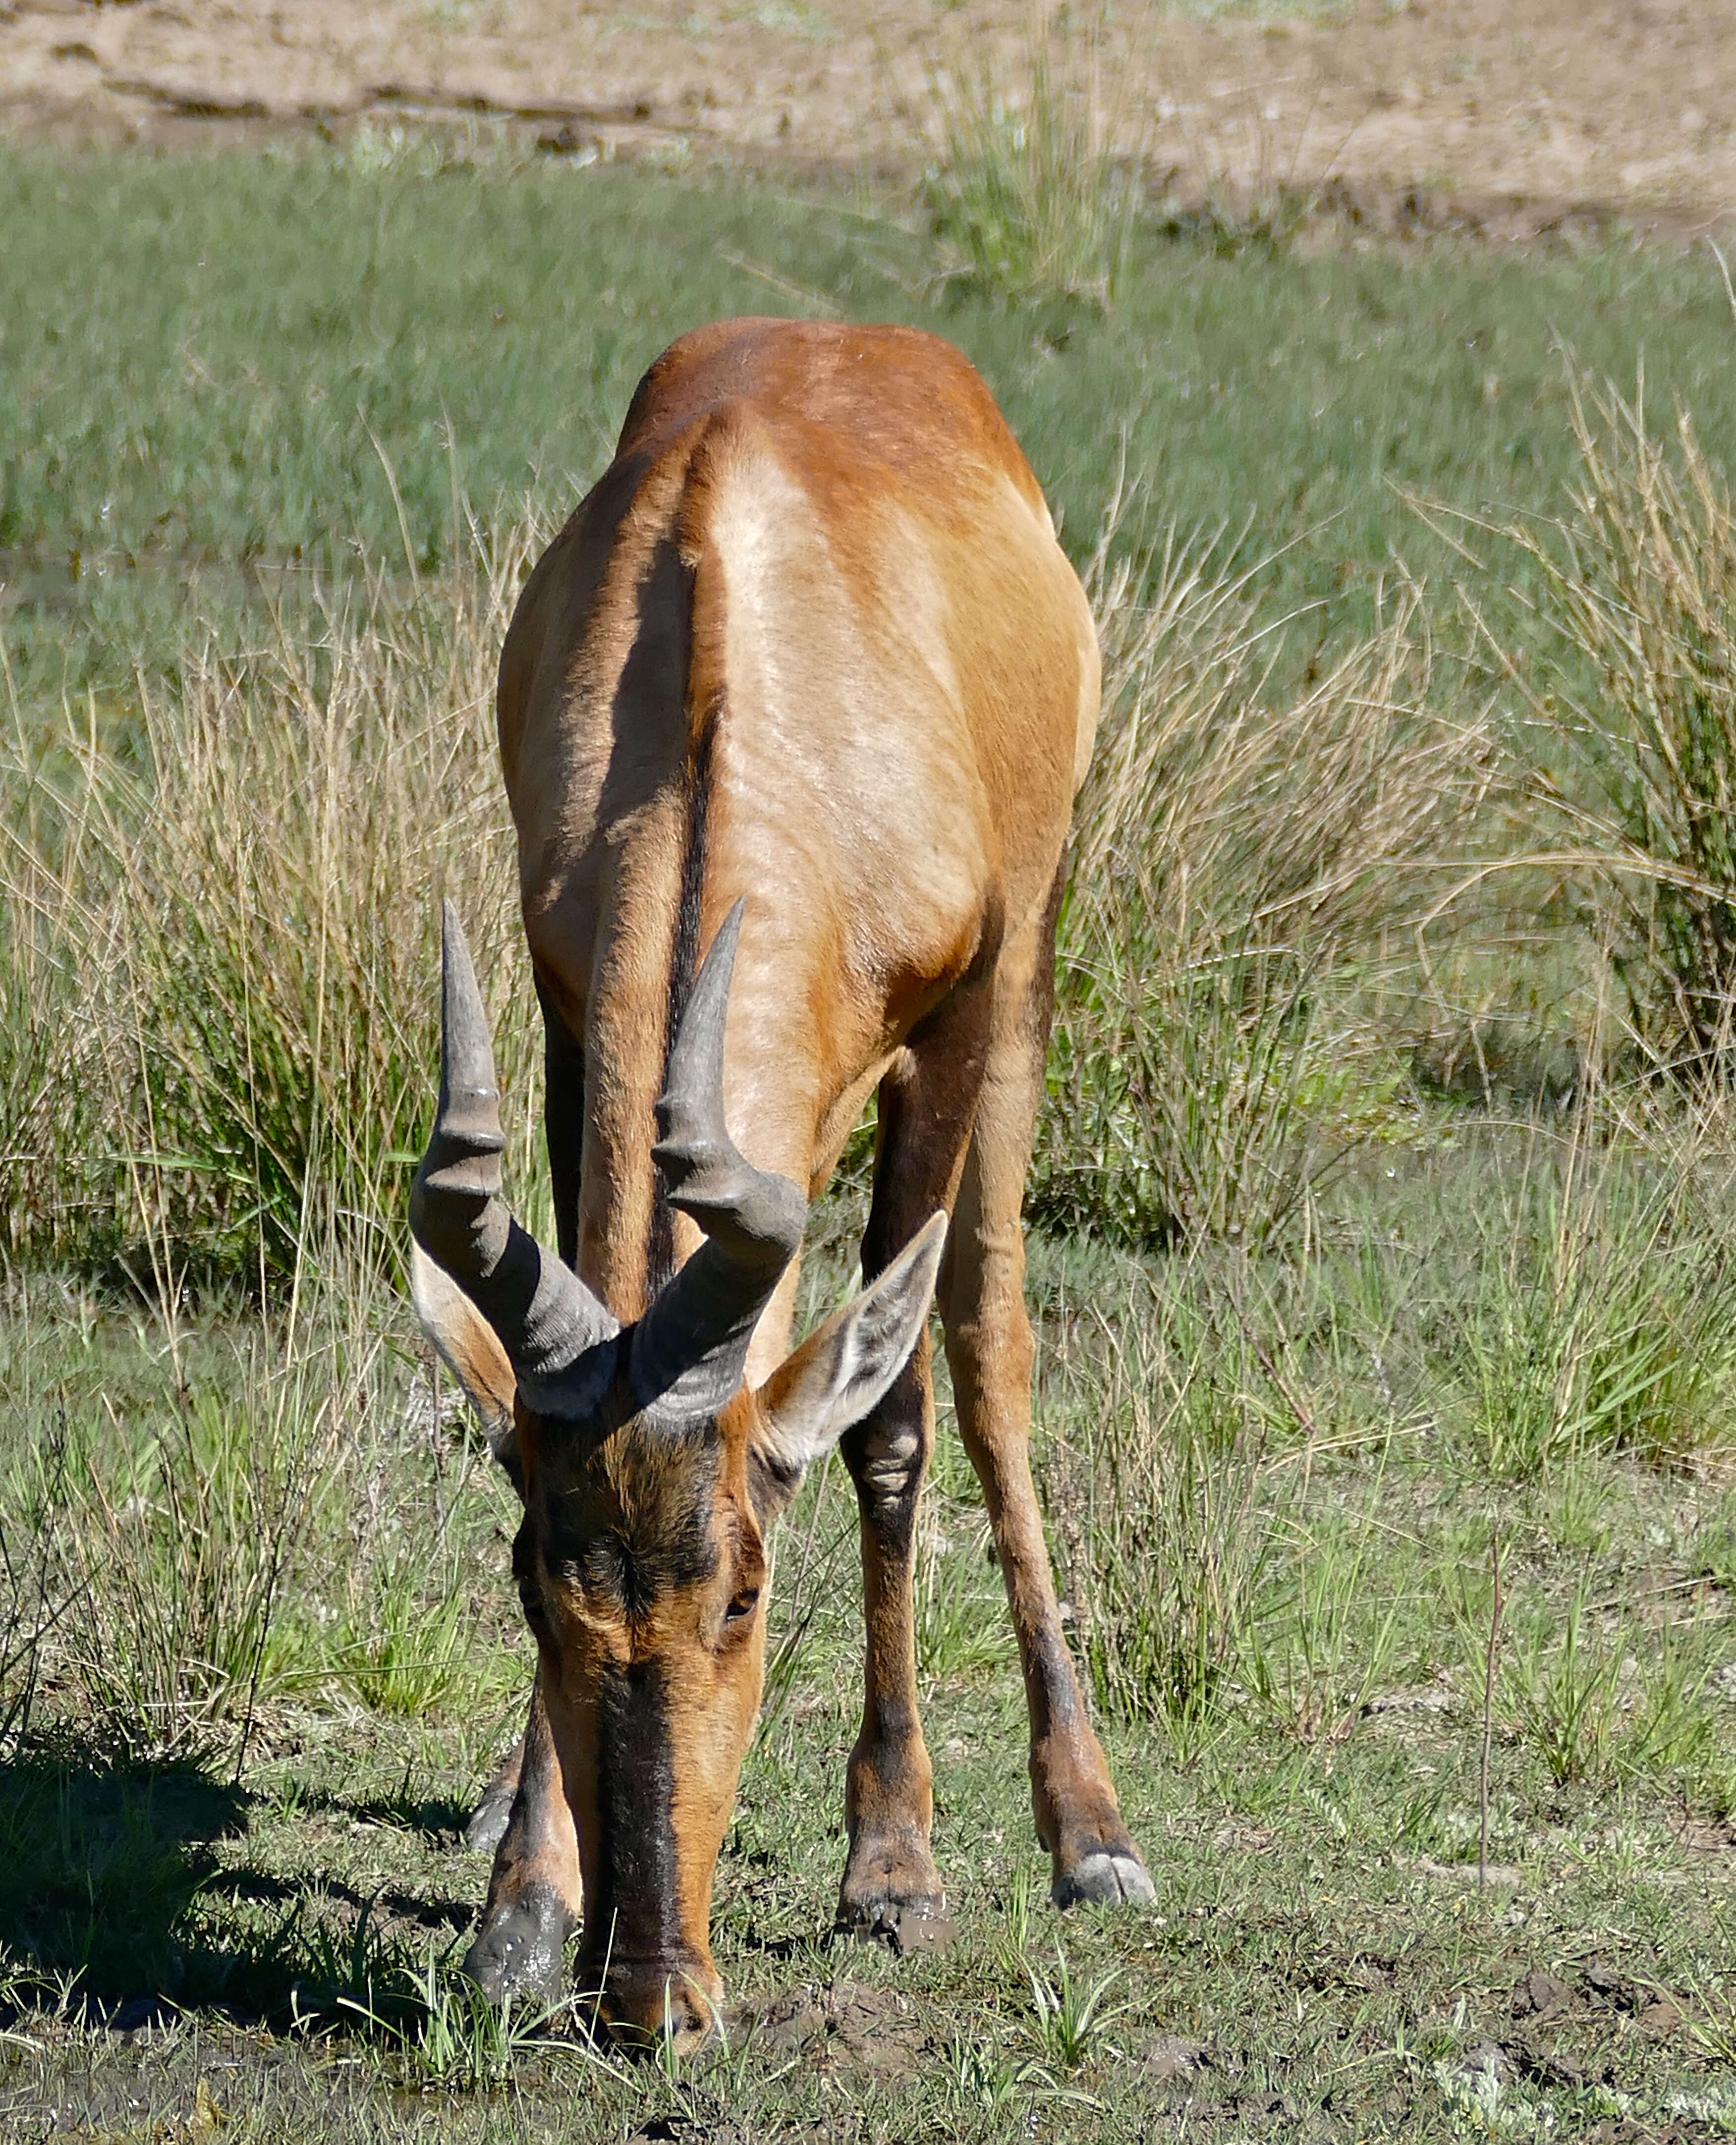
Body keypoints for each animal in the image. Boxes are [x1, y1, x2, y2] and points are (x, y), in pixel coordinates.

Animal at [410, 313, 1150, 2042]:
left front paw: (894, 1871)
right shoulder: (566, 1020)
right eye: (534, 1585)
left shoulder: (949, 1027)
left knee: (984, 1345)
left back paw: (1086, 1832)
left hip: (1030, 972)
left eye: (744, 1594)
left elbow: (889, 1420)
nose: (651, 1996)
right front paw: (518, 1907)